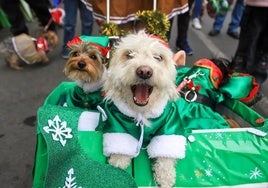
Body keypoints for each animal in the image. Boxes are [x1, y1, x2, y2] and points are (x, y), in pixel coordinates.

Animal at [101, 31, 187, 187]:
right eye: (129, 54)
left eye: (159, 57)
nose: (144, 71)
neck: (142, 112)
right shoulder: (115, 121)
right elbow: (119, 147)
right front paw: (118, 163)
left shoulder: (170, 124)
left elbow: (166, 154)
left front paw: (165, 177)